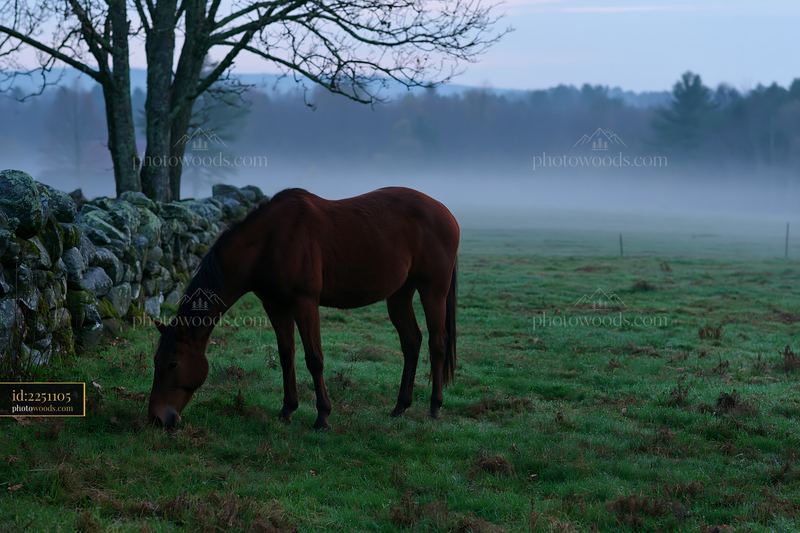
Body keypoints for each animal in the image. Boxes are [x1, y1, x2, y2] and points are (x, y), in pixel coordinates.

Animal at [148, 187, 460, 430]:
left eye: (173, 363)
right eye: (156, 361)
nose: (158, 418)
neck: (269, 242)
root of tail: (447, 214)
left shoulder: (305, 303)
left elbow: (314, 358)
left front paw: (322, 416)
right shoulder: (275, 305)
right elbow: (286, 355)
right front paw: (287, 409)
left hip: (433, 289)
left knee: (437, 343)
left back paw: (434, 407)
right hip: (400, 293)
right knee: (411, 341)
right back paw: (400, 407)